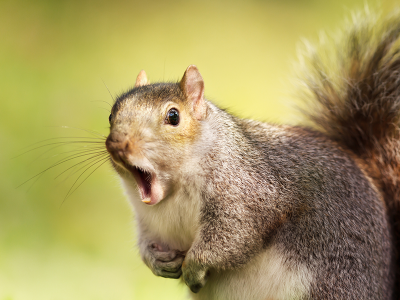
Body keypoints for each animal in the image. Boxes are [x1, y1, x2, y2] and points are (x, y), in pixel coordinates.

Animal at [105, 9, 400, 300]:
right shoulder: (148, 221)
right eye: (112, 114)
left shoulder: (248, 193)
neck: (174, 191)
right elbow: (147, 243)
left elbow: (232, 238)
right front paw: (156, 261)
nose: (117, 144)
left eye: (173, 116)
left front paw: (193, 267)